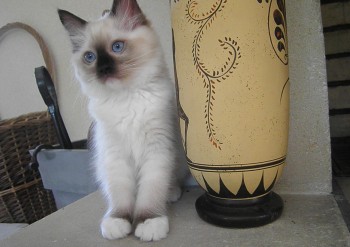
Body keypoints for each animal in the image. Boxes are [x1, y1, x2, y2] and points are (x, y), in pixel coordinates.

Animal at [58, 0, 187, 241]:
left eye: (117, 47)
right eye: (90, 57)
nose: (104, 69)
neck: (126, 100)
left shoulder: (156, 150)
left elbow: (150, 191)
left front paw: (148, 222)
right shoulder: (114, 156)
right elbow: (121, 196)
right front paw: (118, 221)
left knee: (170, 180)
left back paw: (172, 193)